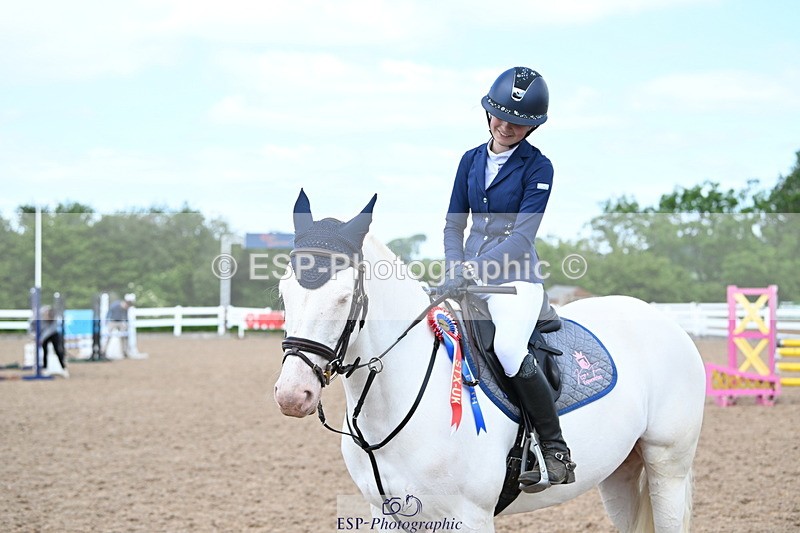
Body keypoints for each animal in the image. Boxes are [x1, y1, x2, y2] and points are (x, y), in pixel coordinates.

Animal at [274, 191, 706, 532]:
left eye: (344, 298)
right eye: (283, 291)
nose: (293, 395)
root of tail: (663, 319)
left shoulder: (469, 517)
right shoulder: (386, 515)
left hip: (667, 464)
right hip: (621, 472)